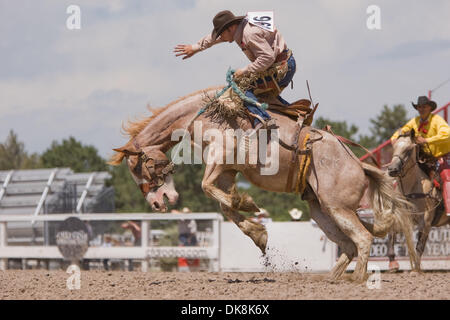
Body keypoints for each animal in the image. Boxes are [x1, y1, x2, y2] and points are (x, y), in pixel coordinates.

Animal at [386, 130, 450, 270]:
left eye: (409, 149)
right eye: (394, 147)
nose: (392, 169)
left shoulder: (425, 222)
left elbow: (419, 246)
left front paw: (416, 269)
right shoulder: (402, 217)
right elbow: (392, 233)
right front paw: (393, 262)